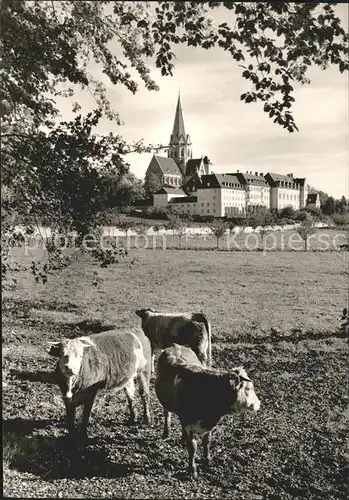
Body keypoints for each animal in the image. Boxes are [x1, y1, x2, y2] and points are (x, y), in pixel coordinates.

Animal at [154, 344, 258, 476]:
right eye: (248, 389)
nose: (259, 404)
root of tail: (175, 345)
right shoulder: (188, 423)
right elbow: (192, 447)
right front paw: (192, 468)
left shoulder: (208, 425)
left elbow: (207, 442)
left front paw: (207, 460)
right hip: (166, 405)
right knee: (167, 414)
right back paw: (166, 432)